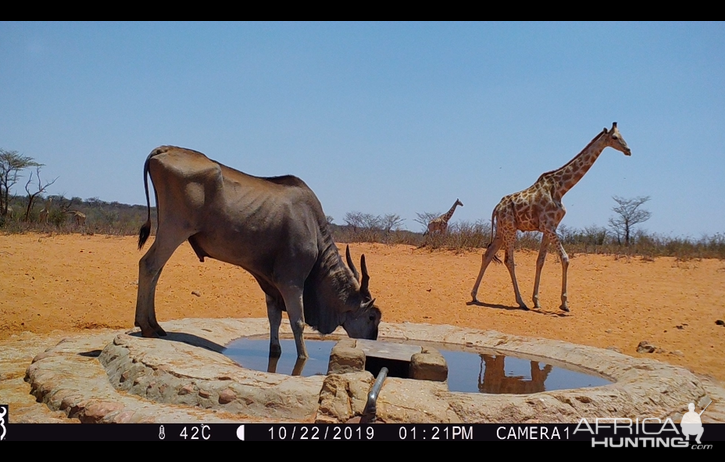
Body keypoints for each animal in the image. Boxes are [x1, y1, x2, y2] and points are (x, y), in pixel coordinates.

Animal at [470, 122, 628, 314]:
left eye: (622, 136)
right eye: (614, 137)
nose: (628, 150)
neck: (561, 188)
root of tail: (497, 208)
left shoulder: (549, 228)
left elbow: (540, 261)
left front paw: (537, 301)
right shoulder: (549, 226)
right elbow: (565, 259)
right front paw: (564, 304)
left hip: (501, 231)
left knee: (487, 255)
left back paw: (475, 295)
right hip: (510, 229)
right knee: (509, 260)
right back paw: (520, 301)